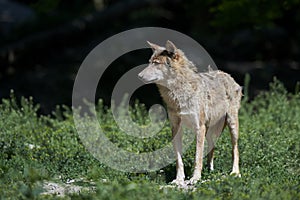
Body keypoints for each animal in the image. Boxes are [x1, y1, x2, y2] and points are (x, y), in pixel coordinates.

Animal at [139, 40, 243, 186]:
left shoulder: (199, 128)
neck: (178, 95)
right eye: (150, 62)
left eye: (157, 63)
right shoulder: (176, 128)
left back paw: (235, 172)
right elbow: (179, 159)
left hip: (231, 125)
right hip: (209, 132)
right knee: (212, 149)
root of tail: (227, 74)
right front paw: (179, 179)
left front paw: (195, 178)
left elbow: (197, 157)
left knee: (235, 149)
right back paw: (210, 171)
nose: (139, 76)